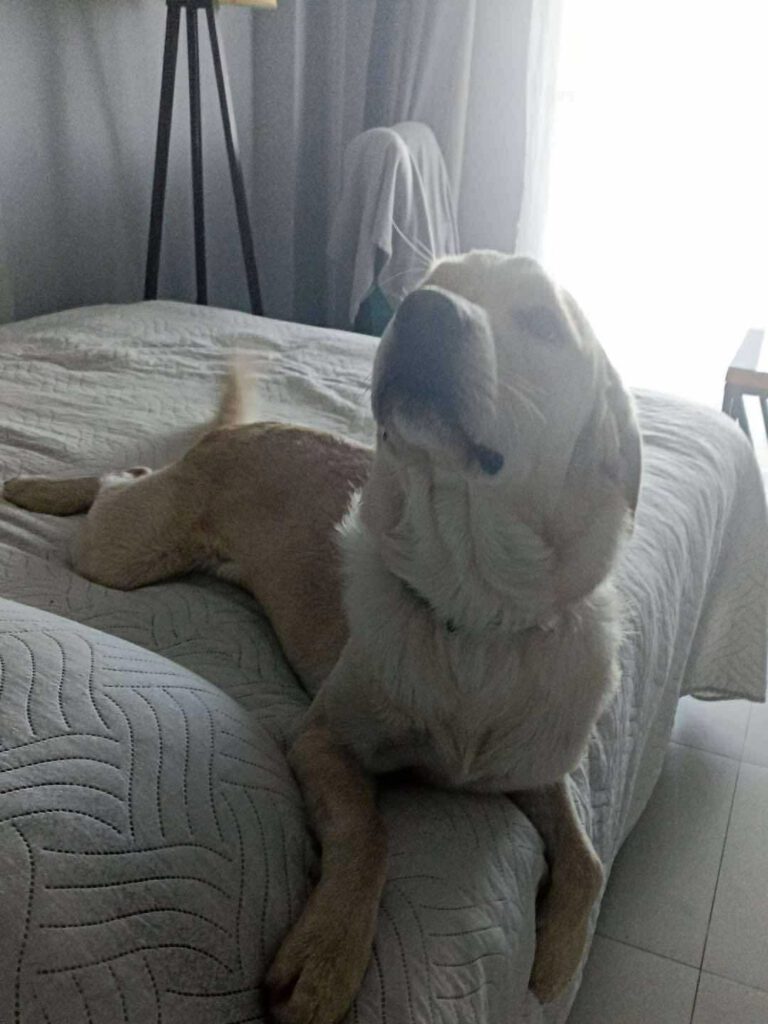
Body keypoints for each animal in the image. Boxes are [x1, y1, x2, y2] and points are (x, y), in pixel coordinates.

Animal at [4, 252, 641, 1024]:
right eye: (433, 282)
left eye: (546, 321)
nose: (421, 311)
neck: (471, 612)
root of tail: (240, 430)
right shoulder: (321, 740)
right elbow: (370, 833)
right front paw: (329, 956)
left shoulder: (533, 771)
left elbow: (587, 858)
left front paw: (557, 958)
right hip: (124, 551)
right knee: (120, 476)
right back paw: (42, 486)